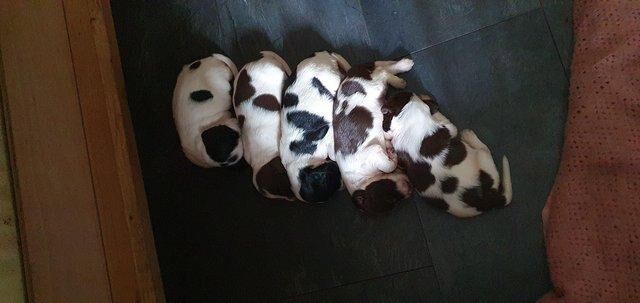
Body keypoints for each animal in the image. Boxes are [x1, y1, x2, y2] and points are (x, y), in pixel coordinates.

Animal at [278, 51, 352, 204]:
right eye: (335, 183)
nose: (342, 185)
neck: (299, 158)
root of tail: (321, 54)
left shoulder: (326, 133)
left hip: (331, 77)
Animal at [330, 59, 416, 215]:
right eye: (393, 202)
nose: (410, 190)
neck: (362, 181)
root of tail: (351, 73)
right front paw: (390, 149)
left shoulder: (374, 151)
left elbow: (388, 165)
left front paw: (392, 155)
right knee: (382, 67)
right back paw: (404, 65)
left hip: (374, 87)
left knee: (384, 73)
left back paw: (398, 80)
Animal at [384, 91, 516, 217]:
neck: (409, 121)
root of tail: (488, 201)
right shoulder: (450, 128)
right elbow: (444, 120)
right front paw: (425, 98)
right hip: (483, 157)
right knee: (484, 149)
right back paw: (469, 136)